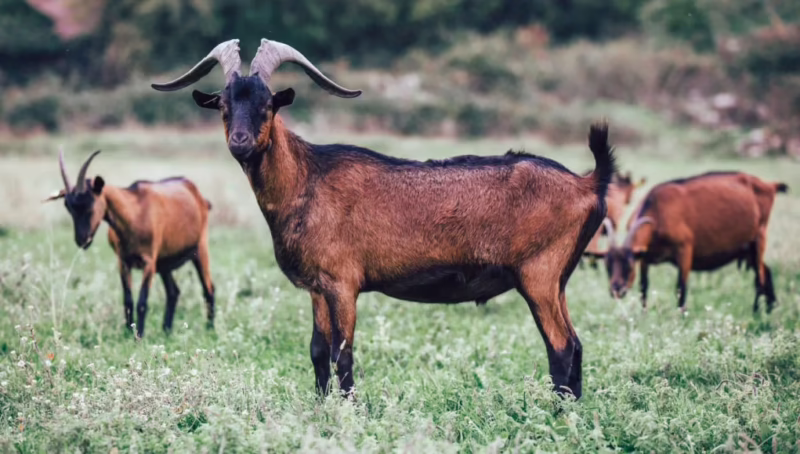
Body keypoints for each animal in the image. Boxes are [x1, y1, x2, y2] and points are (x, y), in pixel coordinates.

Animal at [44, 149, 215, 337]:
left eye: (90, 203)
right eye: (68, 206)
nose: (82, 240)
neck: (134, 213)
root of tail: (199, 196)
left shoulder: (149, 262)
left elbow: (142, 302)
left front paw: (139, 335)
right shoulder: (124, 261)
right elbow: (128, 300)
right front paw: (128, 332)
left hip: (200, 249)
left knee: (208, 288)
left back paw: (210, 329)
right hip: (164, 262)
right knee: (173, 292)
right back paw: (167, 330)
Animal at [151, 39, 616, 399]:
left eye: (268, 105)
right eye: (223, 105)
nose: (240, 142)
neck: (307, 178)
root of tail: (588, 183)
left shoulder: (343, 283)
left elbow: (343, 354)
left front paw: (348, 411)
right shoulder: (318, 287)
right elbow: (317, 351)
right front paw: (320, 408)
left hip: (539, 274)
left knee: (560, 347)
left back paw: (557, 416)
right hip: (558, 281)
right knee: (576, 344)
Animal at [584, 171, 787, 312]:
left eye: (629, 265)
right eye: (608, 265)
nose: (616, 290)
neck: (659, 211)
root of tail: (769, 185)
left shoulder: (685, 251)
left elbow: (681, 288)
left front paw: (681, 316)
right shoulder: (645, 258)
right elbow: (643, 287)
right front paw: (643, 314)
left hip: (759, 239)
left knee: (759, 277)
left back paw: (757, 312)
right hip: (747, 249)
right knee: (766, 271)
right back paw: (771, 308)